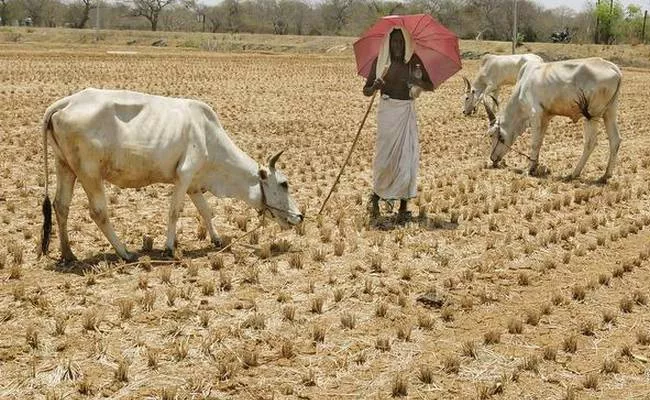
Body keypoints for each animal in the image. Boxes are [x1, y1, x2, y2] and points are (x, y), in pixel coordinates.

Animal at [41, 88, 304, 262]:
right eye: (284, 183)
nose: (299, 216)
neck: (208, 135)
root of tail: (65, 102)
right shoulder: (184, 176)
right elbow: (174, 212)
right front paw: (169, 248)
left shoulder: (194, 184)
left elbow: (205, 211)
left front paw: (217, 240)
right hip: (90, 173)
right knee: (98, 212)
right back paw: (125, 252)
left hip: (65, 167)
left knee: (61, 206)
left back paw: (68, 254)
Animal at [484, 57, 620, 182]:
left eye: (493, 135)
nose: (492, 158)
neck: (523, 85)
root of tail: (615, 69)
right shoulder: (545, 117)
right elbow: (539, 142)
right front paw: (534, 167)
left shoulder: (535, 114)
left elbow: (534, 143)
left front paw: (528, 170)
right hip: (610, 112)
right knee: (615, 140)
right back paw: (606, 175)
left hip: (592, 115)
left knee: (590, 142)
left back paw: (574, 174)